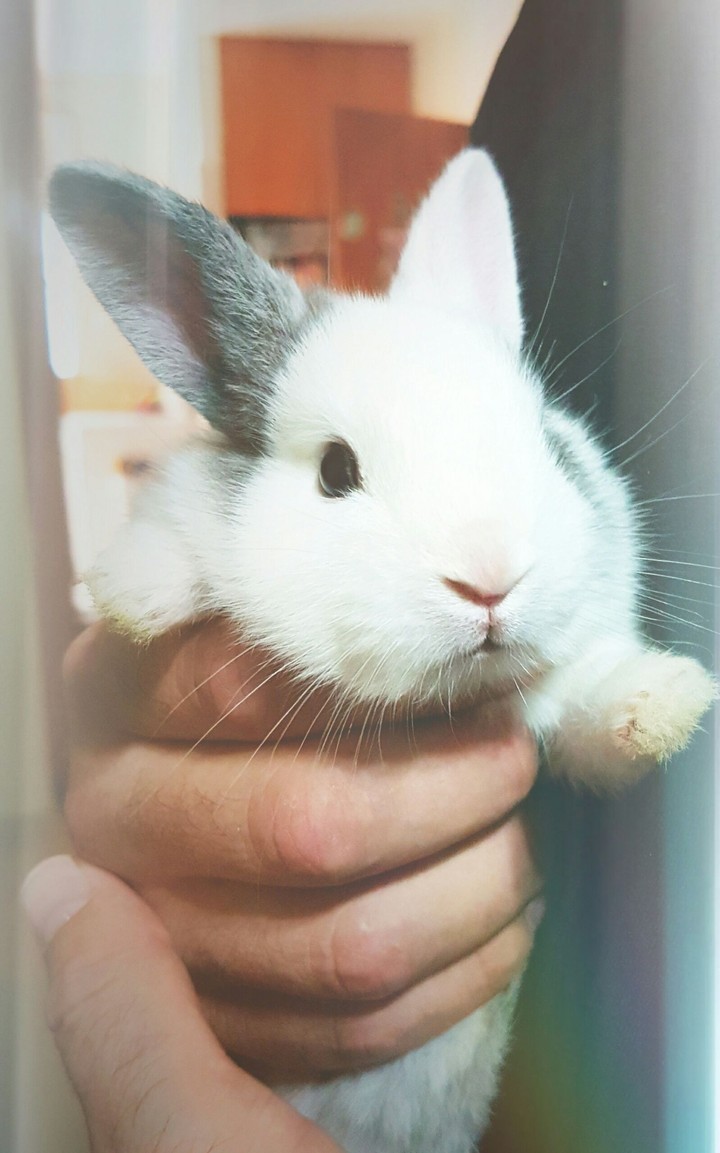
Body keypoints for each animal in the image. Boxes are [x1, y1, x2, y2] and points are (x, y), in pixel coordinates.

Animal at [49, 149, 716, 1153]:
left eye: (547, 443)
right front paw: (127, 592)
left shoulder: (561, 697)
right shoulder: (186, 496)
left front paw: (670, 700)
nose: (490, 578)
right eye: (335, 470)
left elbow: (593, 712)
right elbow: (172, 523)